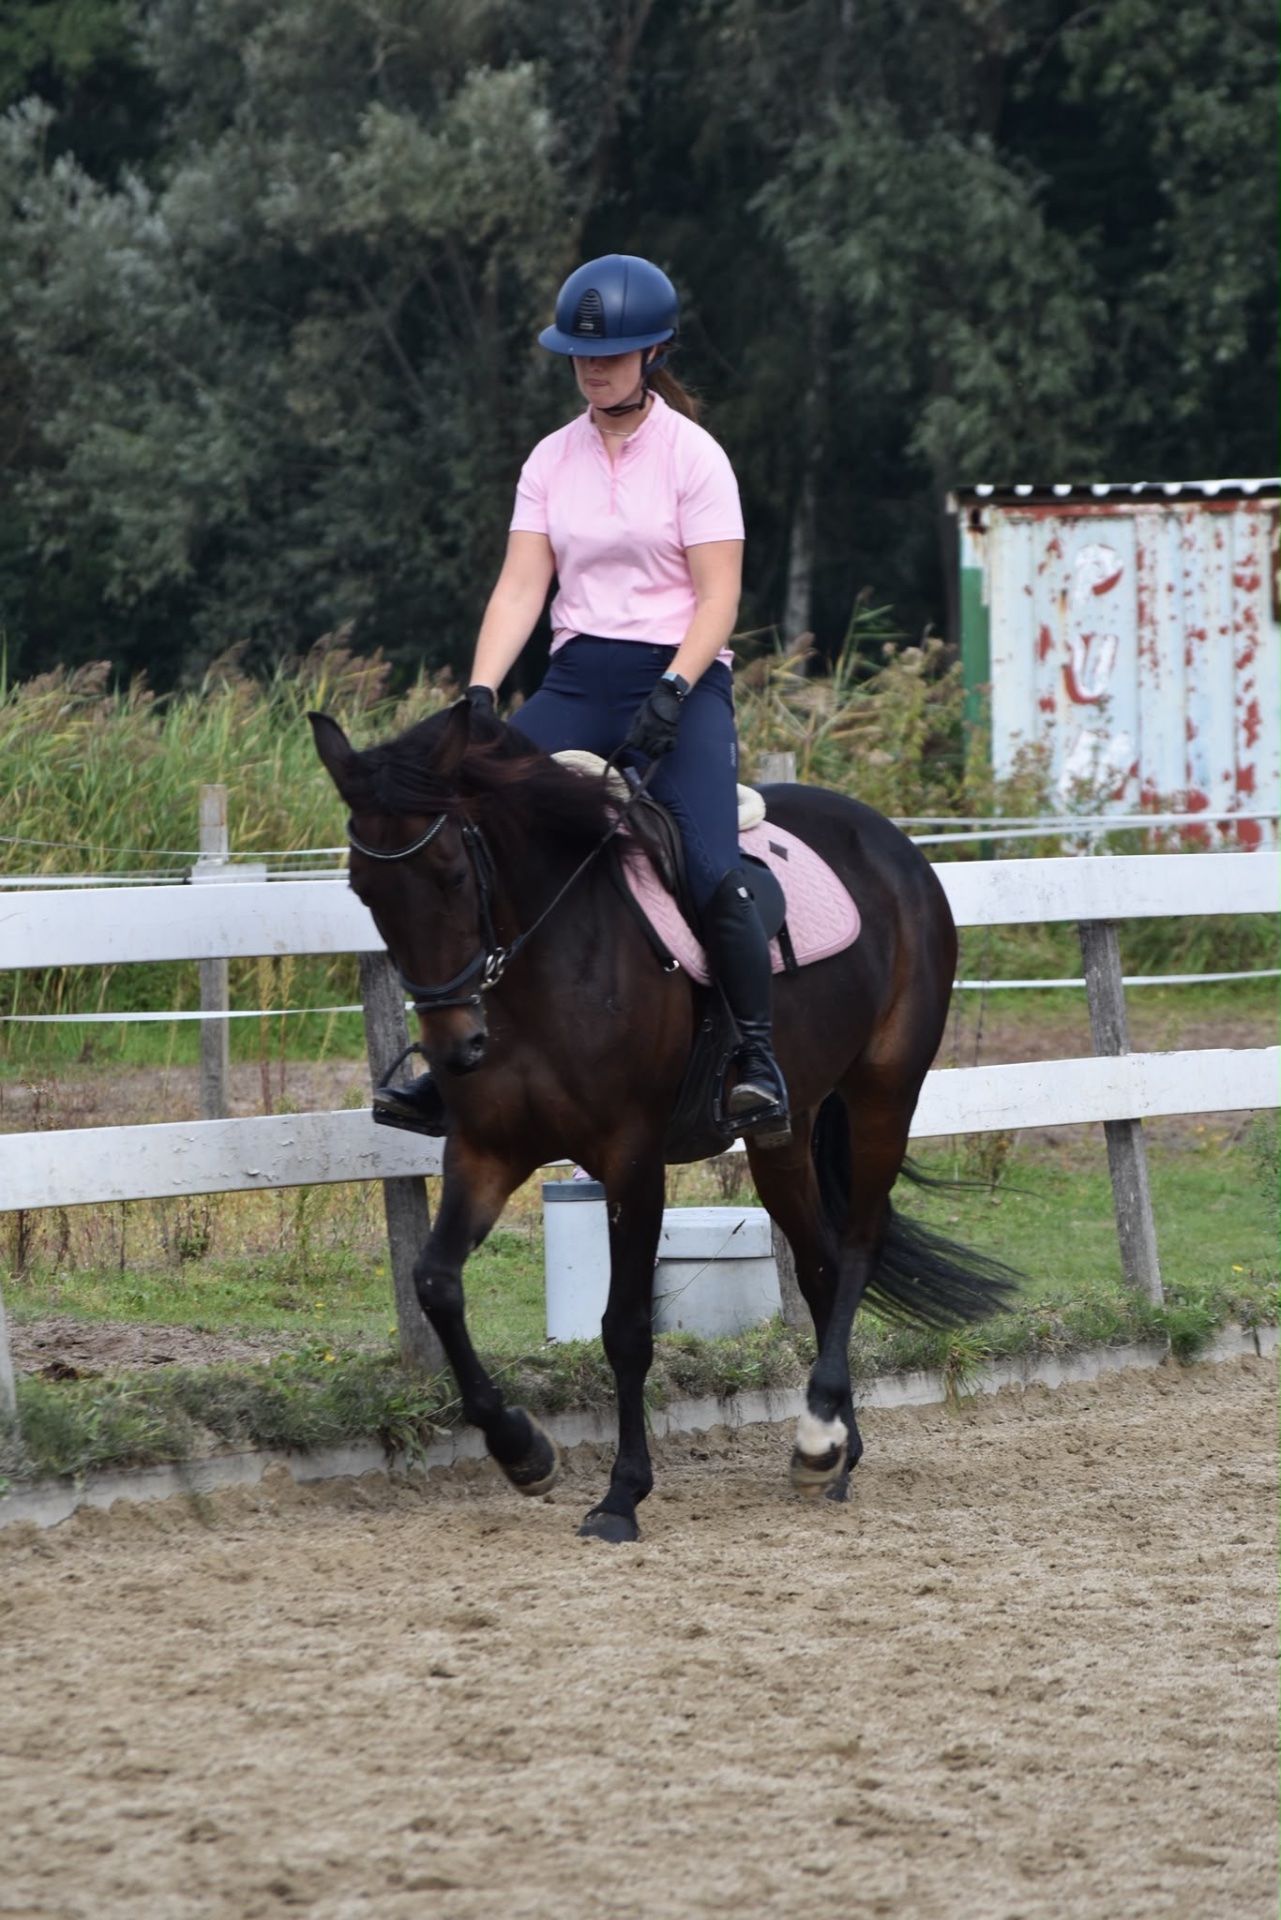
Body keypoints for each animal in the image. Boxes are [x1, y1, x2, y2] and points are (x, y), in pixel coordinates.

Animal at [310, 699, 1016, 1542]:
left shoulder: (631, 1156)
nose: (456, 1049)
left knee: (855, 1248)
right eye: (363, 890)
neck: (542, 961)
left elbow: (624, 1327)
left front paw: (621, 1495)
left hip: (884, 1091)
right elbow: (435, 1283)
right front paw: (522, 1451)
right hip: (786, 1129)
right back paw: (835, 1449)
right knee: (816, 1262)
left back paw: (817, 1437)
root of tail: (888, 838)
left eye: (451, 872)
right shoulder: (486, 1150)